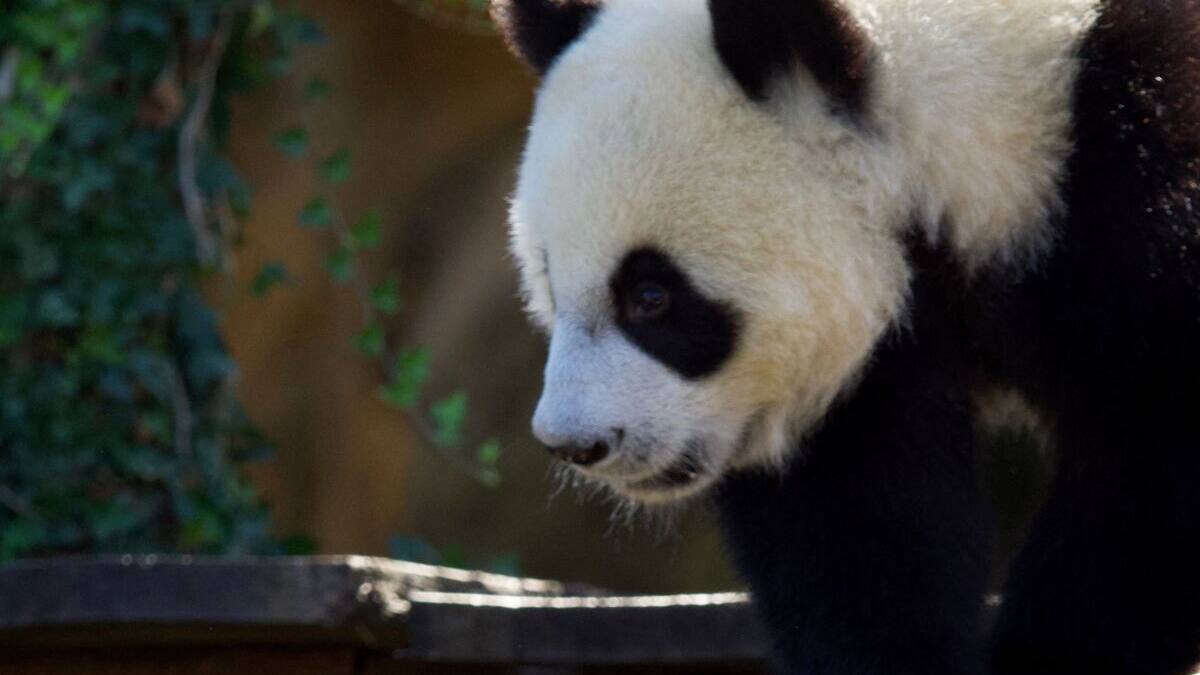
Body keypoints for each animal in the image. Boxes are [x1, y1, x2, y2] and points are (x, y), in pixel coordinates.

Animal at [490, 0, 1200, 672]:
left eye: (651, 297)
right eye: (549, 280)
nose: (576, 444)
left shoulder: (1139, 194)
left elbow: (1145, 473)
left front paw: (1056, 651)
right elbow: (857, 531)